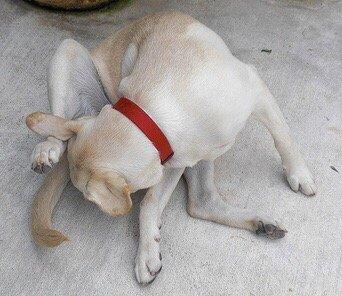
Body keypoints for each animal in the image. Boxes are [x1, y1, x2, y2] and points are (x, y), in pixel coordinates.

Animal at [25, 11, 316, 284]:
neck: (154, 110)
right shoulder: (171, 159)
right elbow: (148, 205)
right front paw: (147, 253)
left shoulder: (255, 89)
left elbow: (283, 138)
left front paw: (299, 174)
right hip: (66, 53)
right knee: (200, 202)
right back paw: (47, 149)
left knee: (202, 201)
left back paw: (262, 224)